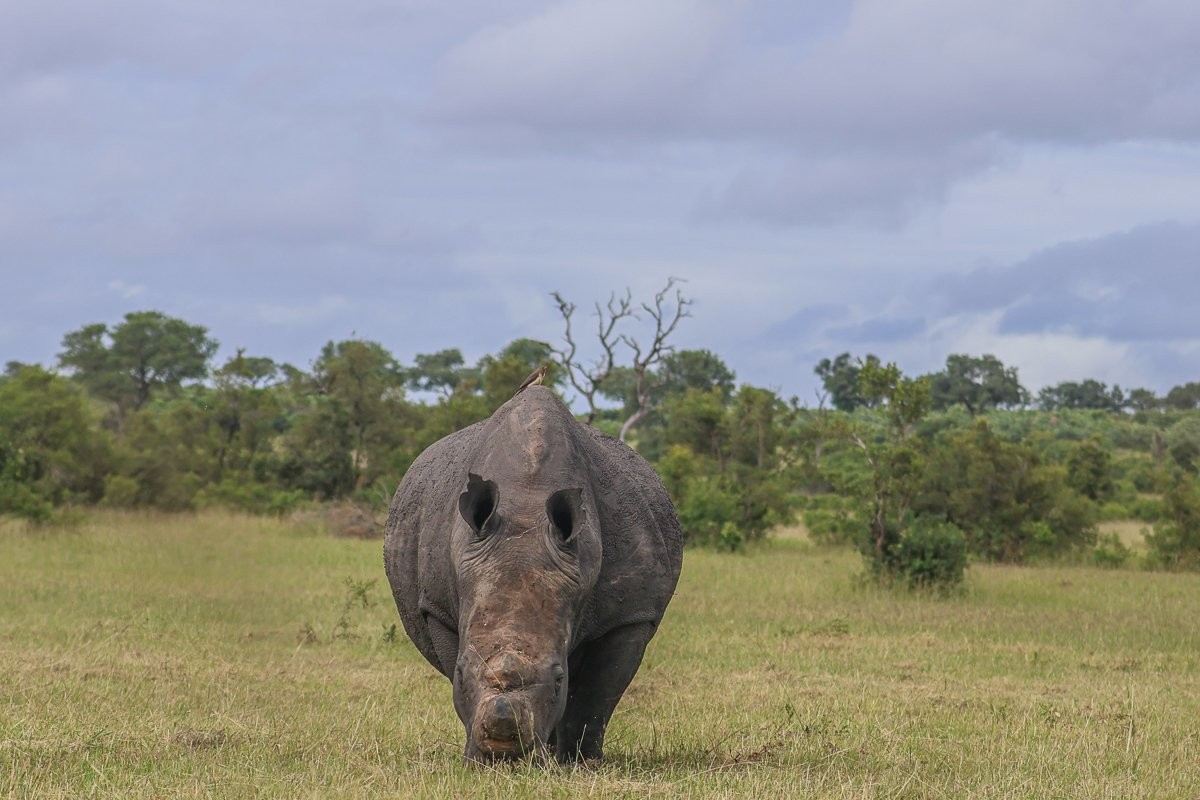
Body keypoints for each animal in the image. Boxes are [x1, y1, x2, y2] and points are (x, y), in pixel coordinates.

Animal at [384, 385, 683, 763]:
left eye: (558, 677)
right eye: (462, 672)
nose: (504, 750)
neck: (527, 498)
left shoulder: (629, 614)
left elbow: (598, 694)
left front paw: (583, 763)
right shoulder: (436, 606)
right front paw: (474, 759)